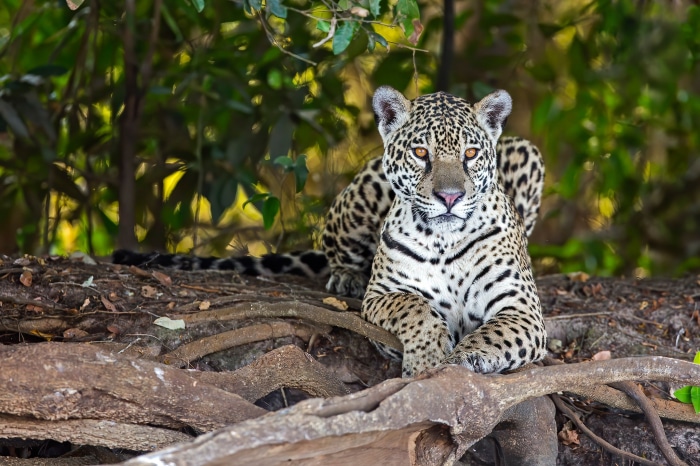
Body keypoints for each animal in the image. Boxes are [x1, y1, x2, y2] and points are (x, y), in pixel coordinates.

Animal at [113, 86, 547, 378]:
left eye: (470, 154)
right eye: (421, 153)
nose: (450, 197)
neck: (444, 241)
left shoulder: (522, 309)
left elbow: (490, 335)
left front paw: (456, 360)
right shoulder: (382, 295)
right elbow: (417, 309)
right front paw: (425, 359)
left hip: (526, 150)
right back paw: (345, 277)